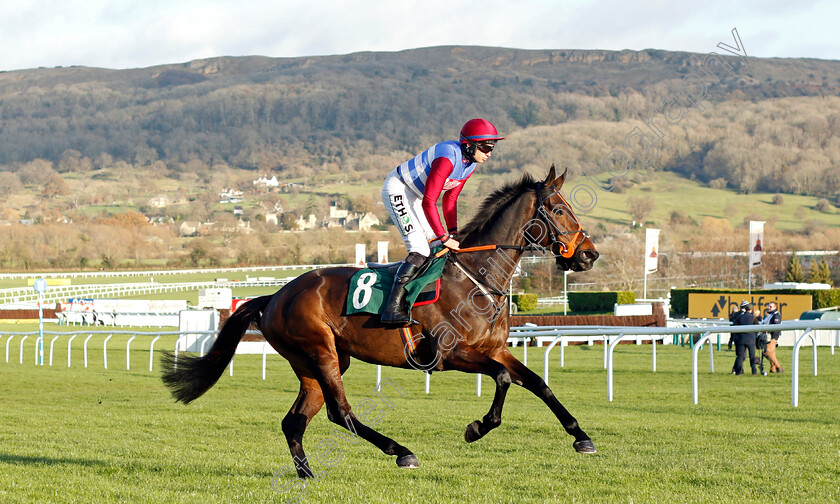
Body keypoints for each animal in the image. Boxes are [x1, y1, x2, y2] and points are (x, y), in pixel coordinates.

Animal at [161, 165, 600, 476]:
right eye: (559, 210)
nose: (589, 254)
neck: (475, 277)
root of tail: (275, 296)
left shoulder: (494, 350)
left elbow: (539, 383)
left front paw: (581, 437)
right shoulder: (449, 355)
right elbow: (505, 380)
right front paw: (477, 427)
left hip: (316, 362)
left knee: (294, 421)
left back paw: (307, 474)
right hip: (320, 351)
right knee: (340, 412)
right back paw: (401, 452)